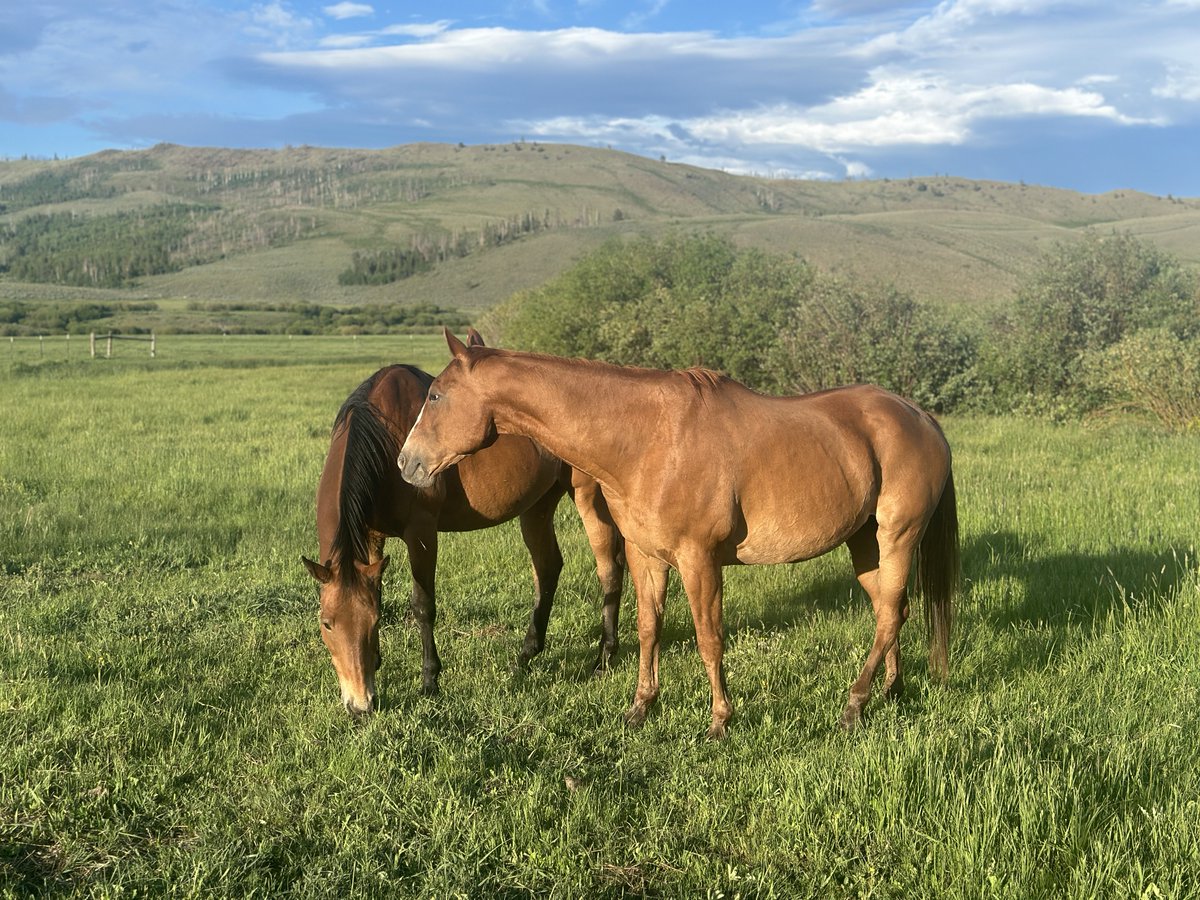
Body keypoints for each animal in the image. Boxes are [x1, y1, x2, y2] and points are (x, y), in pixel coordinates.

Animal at [302, 332, 624, 717]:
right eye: (327, 623)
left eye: (374, 622)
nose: (360, 704)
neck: (384, 438)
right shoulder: (372, 537)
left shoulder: (422, 533)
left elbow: (423, 606)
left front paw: (430, 681)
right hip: (537, 506)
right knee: (548, 568)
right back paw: (526, 654)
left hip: (590, 498)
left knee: (609, 570)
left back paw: (604, 657)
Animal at [398, 330, 959, 738]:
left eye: (436, 394)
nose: (407, 463)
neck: (646, 440)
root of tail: (920, 417)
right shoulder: (647, 556)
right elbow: (649, 629)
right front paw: (641, 707)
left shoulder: (699, 560)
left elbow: (710, 639)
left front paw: (720, 721)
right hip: (864, 543)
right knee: (892, 611)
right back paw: (889, 690)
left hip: (898, 537)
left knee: (888, 614)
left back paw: (854, 704)